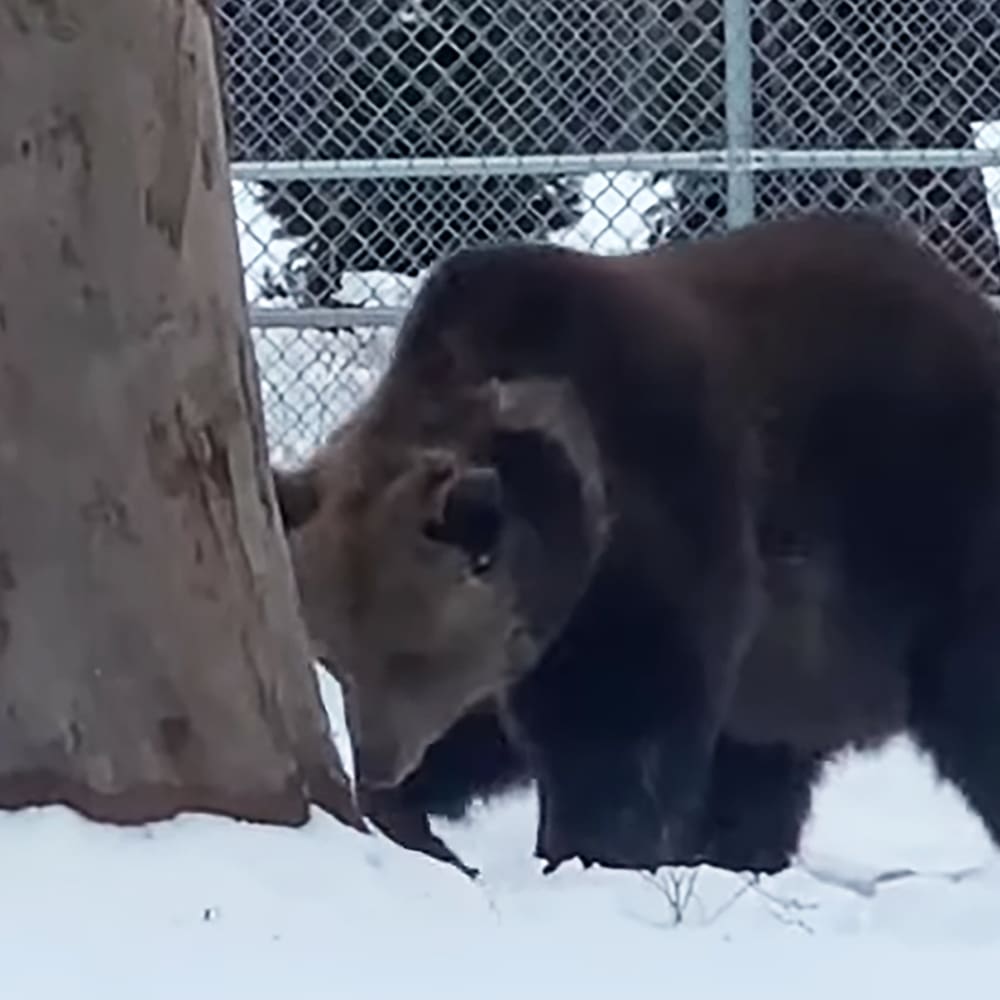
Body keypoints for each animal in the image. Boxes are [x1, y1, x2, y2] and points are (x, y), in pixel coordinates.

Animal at [274, 210, 1000, 878]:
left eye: (409, 656)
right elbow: (491, 734)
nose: (379, 762)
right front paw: (413, 825)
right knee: (765, 762)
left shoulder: (655, 532)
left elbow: (621, 725)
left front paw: (594, 846)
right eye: (335, 658)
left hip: (925, 522)